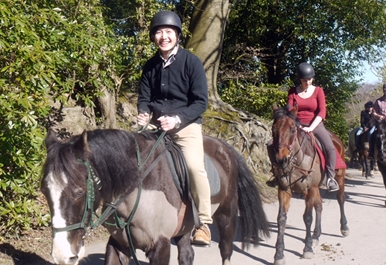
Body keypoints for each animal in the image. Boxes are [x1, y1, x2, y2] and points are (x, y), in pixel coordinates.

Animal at [40, 128, 270, 264]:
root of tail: (225, 147)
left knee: (225, 250)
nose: (62, 255)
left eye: (79, 191)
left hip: (226, 216)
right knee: (186, 254)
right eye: (45, 191)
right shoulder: (118, 244)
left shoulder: (160, 246)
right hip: (185, 225)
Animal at [268, 105, 350, 264]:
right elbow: (281, 219)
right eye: (273, 128)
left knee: (341, 199)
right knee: (319, 206)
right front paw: (279, 254)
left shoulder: (310, 189)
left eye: (293, 128)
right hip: (317, 188)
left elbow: (307, 217)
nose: (281, 159)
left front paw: (307, 249)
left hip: (339, 178)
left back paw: (344, 227)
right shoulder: (285, 189)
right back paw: (316, 235)